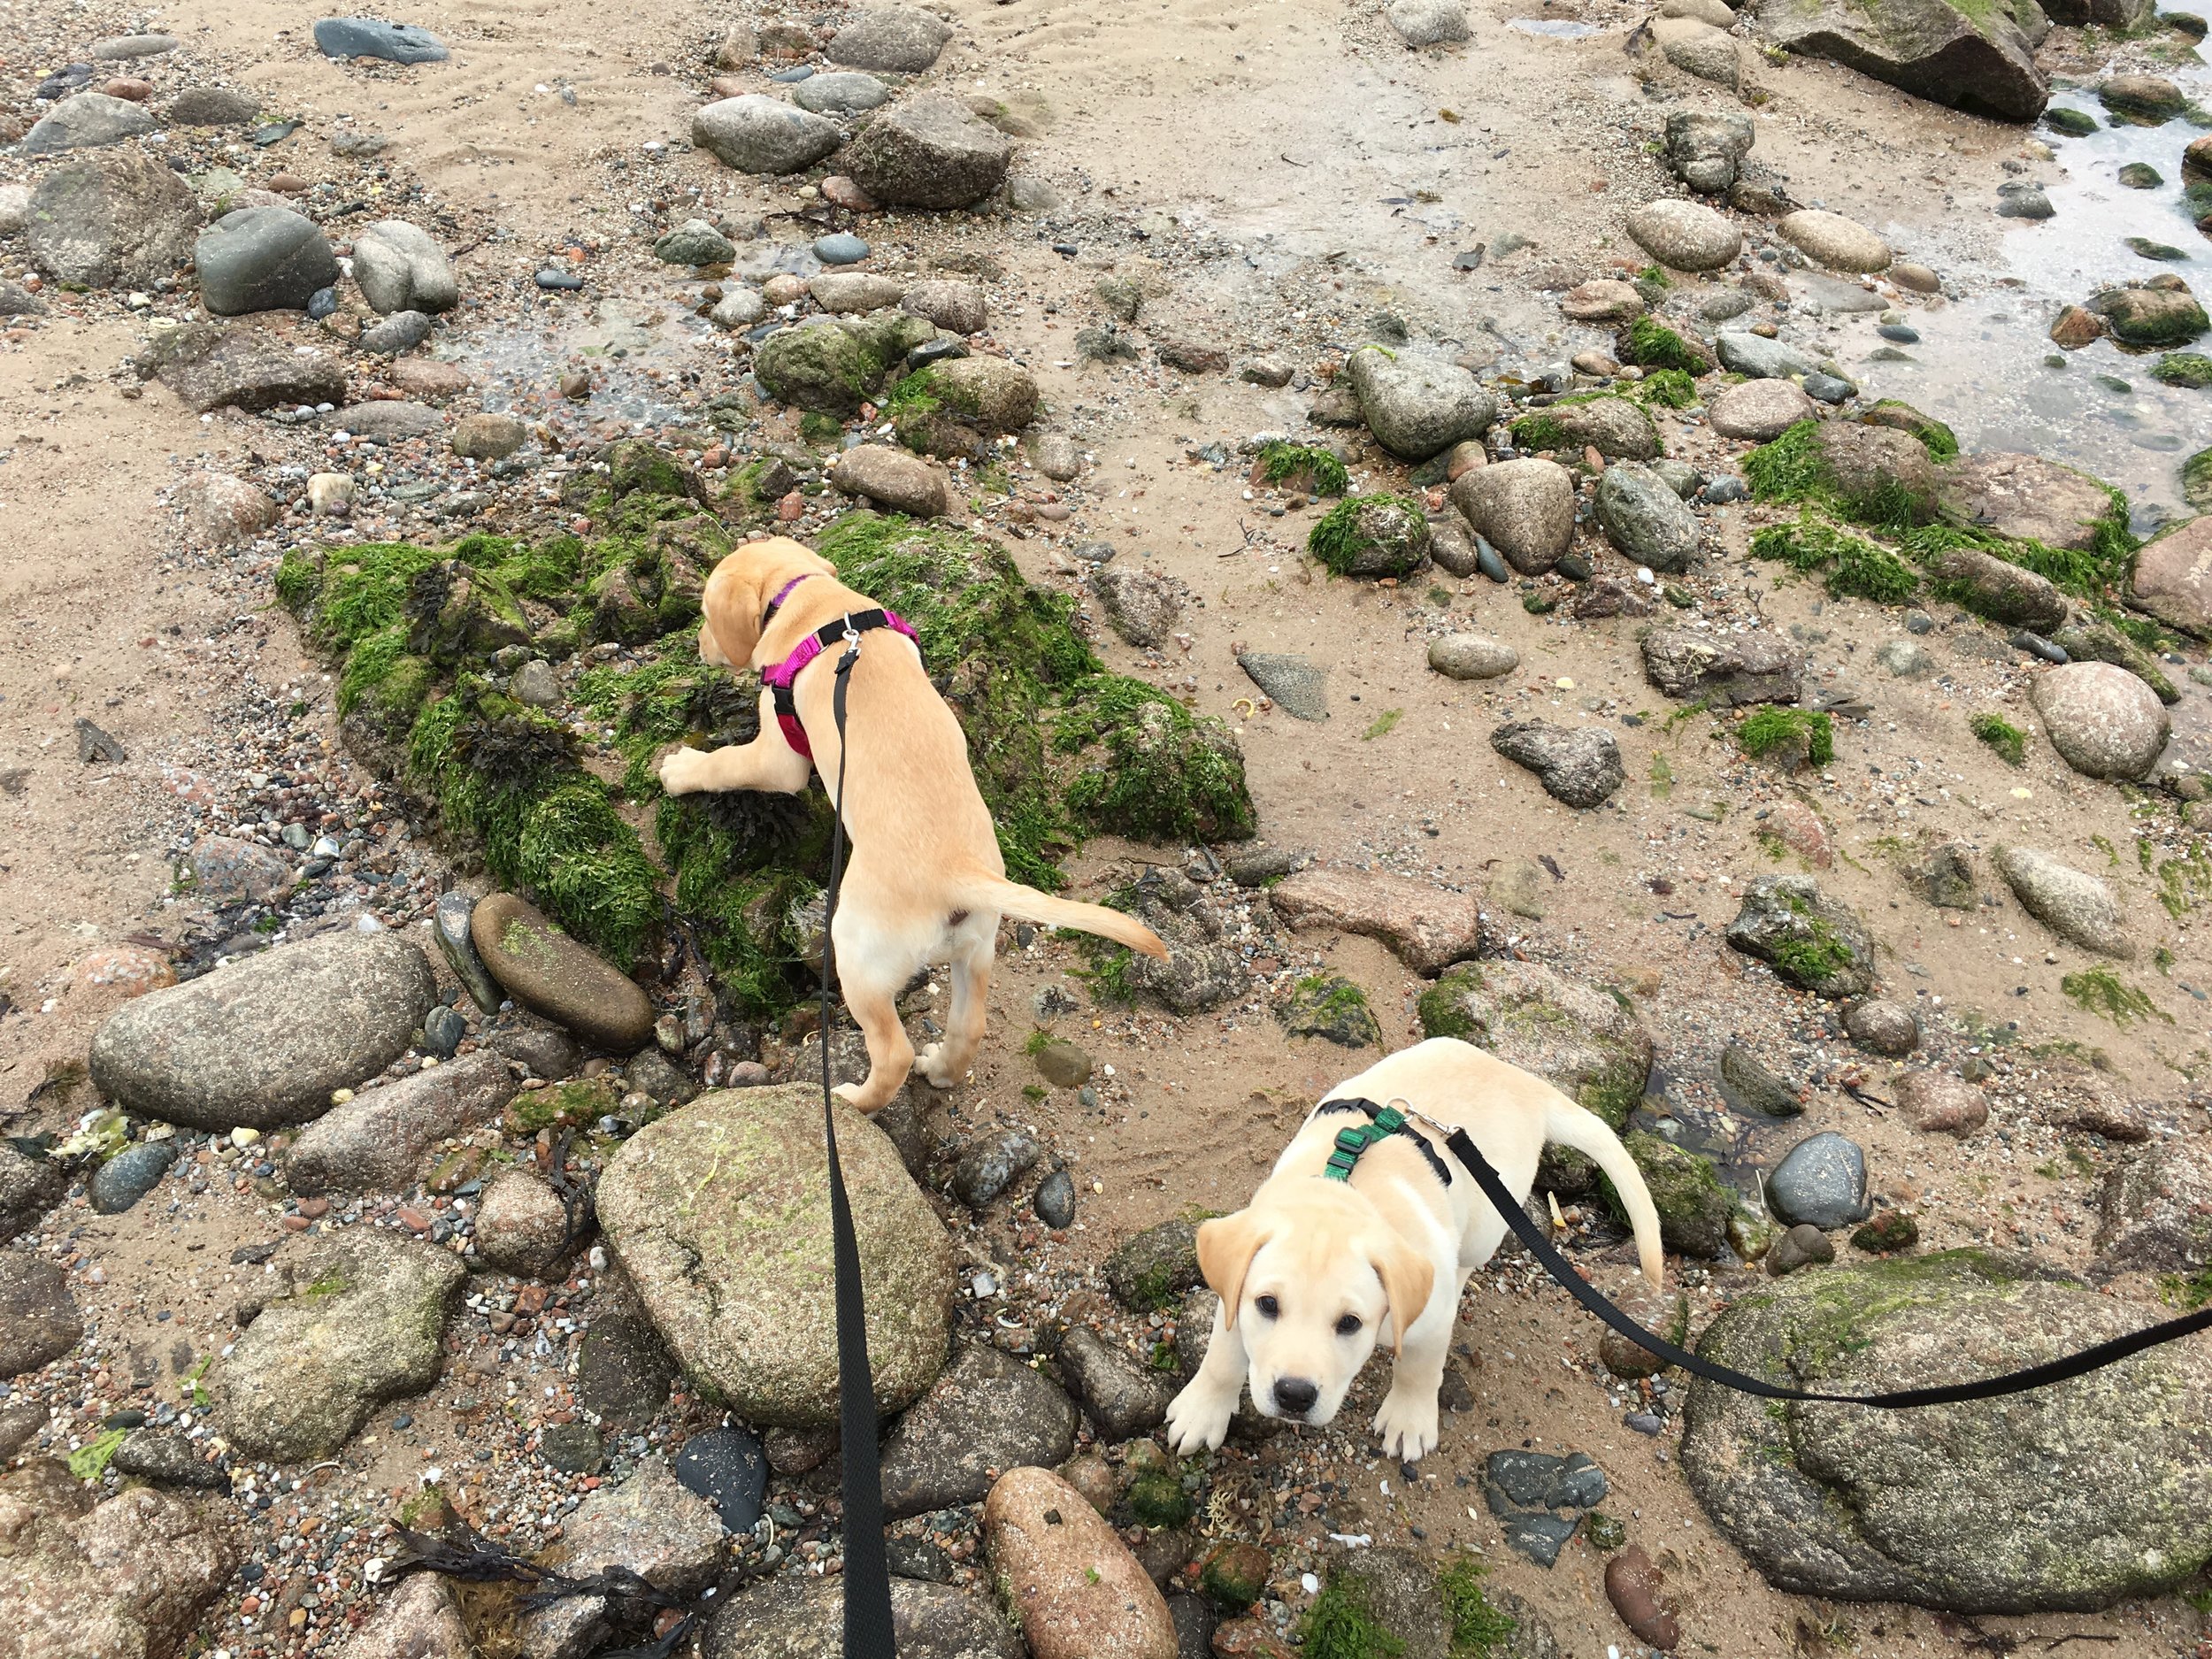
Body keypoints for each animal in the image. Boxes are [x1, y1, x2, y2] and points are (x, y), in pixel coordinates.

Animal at [664, 541, 1168, 1119]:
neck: (813, 603)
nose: (699, 648)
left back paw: (854, 1100)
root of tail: (958, 872)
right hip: (977, 950)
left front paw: (680, 769)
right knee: (969, 1025)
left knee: (892, 1052)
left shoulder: (779, 757)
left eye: (705, 617)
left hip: (856, 951)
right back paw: (942, 1071)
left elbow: (729, 764)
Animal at [1159, 1044, 1663, 1460]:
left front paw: (1408, 1420)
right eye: (1267, 1305)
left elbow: (1419, 1371)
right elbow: (1222, 1356)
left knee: (1466, 1260)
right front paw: (1202, 1411)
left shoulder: (1429, 1322)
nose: (1294, 1395)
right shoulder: (1234, 1293)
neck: (1345, 1192)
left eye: (1350, 1324)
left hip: (1488, 1218)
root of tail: (1524, 1079)